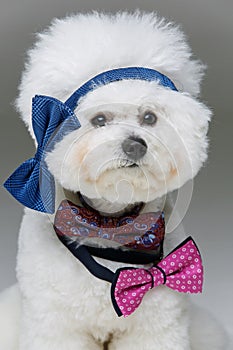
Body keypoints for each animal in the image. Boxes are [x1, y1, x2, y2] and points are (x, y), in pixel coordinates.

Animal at [0, 10, 226, 350]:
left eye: (149, 117)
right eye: (99, 120)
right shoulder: (56, 321)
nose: (135, 145)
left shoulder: (155, 323)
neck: (109, 225)